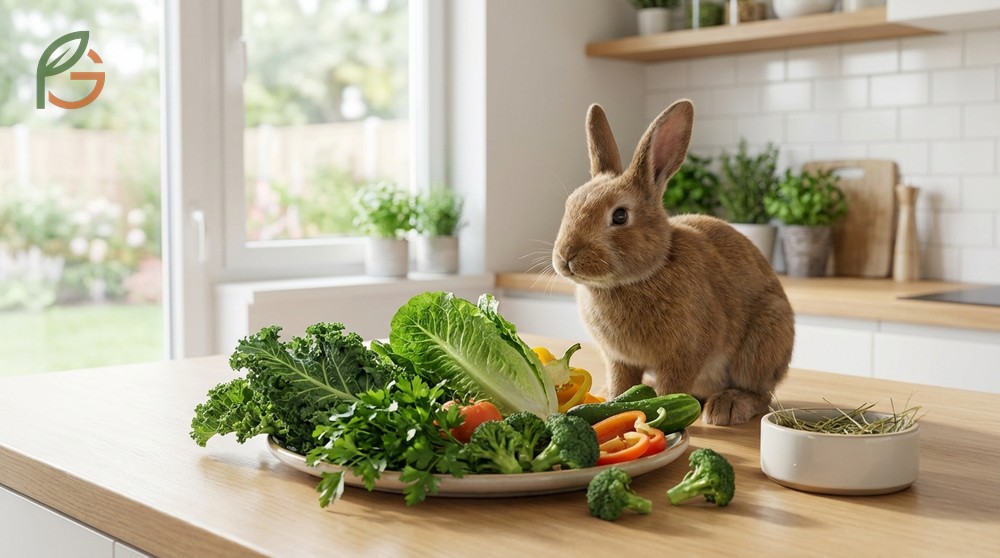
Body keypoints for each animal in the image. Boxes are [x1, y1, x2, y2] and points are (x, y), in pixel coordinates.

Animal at [551, 99, 795, 426]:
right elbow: (621, 385)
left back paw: (727, 407)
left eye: (620, 216)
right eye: (570, 206)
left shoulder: (684, 355)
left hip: (763, 340)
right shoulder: (619, 360)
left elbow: (671, 388)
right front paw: (612, 400)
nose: (566, 257)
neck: (641, 275)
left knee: (761, 393)